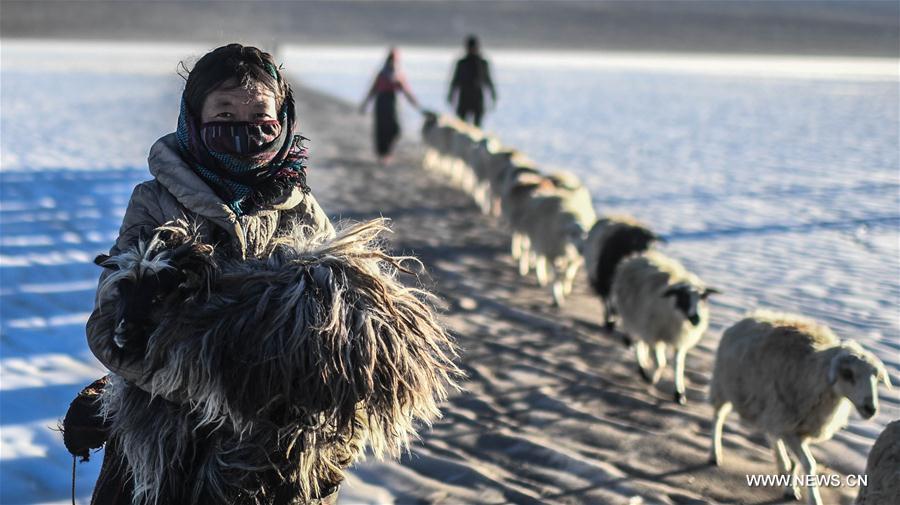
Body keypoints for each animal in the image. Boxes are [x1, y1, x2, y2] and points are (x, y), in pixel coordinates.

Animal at [612, 250, 719, 404]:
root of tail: (636, 257)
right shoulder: (656, 337)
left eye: (702, 299)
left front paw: (679, 394)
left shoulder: (679, 341)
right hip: (634, 317)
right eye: (683, 298)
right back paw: (643, 368)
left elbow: (678, 365)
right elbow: (661, 363)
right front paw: (653, 378)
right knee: (638, 342)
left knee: (642, 343)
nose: (696, 319)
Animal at [709, 311, 893, 505]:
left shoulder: (799, 428)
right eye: (848, 374)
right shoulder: (791, 428)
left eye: (876, 378)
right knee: (718, 418)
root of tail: (748, 317)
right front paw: (814, 499)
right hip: (723, 386)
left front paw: (791, 487)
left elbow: (798, 462)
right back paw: (715, 454)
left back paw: (781, 464)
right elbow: (809, 464)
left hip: (771, 409)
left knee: (772, 435)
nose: (871, 408)